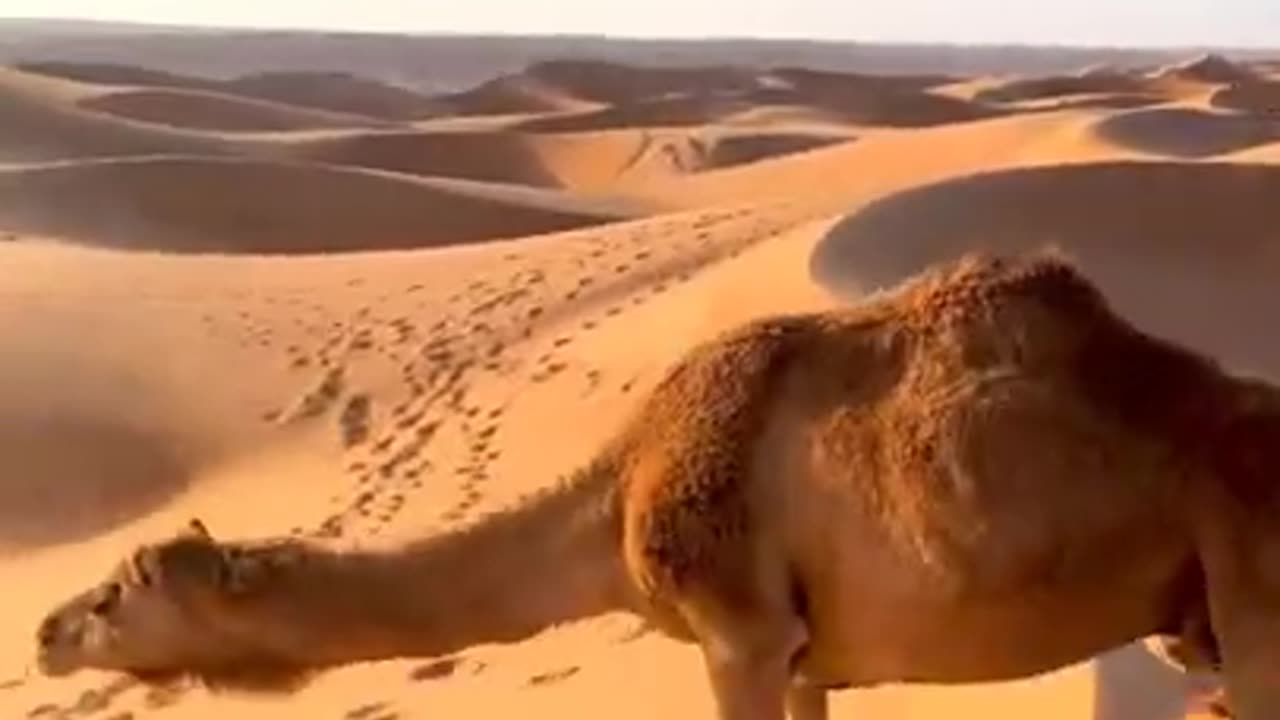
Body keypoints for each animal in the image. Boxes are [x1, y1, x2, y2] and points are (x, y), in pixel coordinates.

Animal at [32, 249, 1280, 712]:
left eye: (121, 590)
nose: (43, 632)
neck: (618, 497)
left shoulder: (737, 629)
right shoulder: (802, 653)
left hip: (1254, 586)